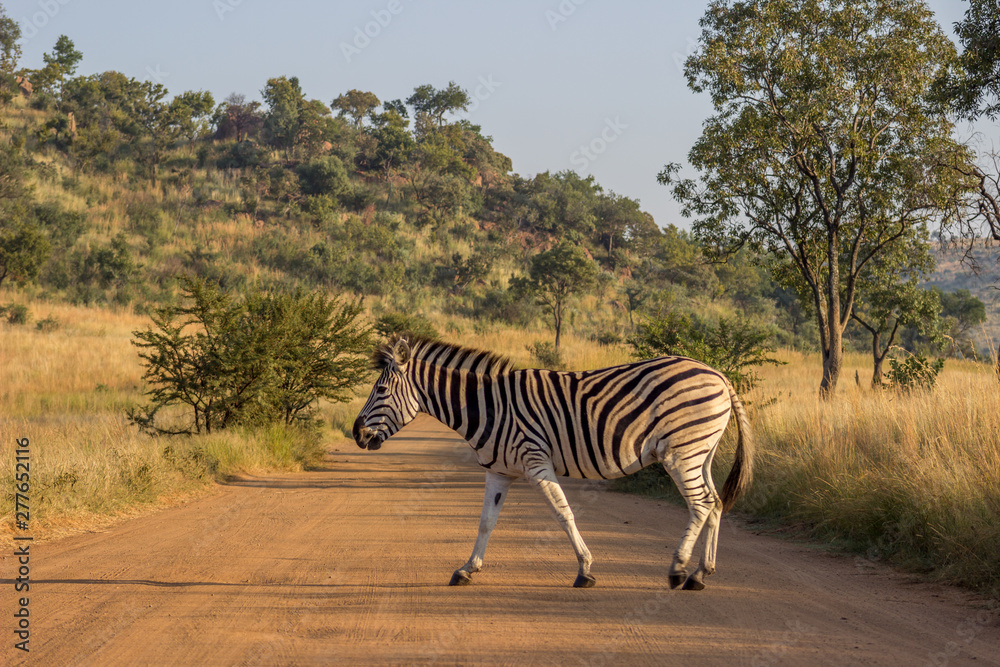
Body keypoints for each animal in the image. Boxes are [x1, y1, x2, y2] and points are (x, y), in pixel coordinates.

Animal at [352, 335, 754, 590]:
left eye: (381, 390)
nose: (356, 434)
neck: (488, 407)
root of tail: (718, 374)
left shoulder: (535, 461)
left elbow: (564, 514)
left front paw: (585, 571)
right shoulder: (499, 471)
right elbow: (486, 522)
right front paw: (466, 570)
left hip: (681, 452)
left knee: (700, 504)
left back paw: (677, 571)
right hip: (701, 453)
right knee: (716, 503)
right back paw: (700, 575)